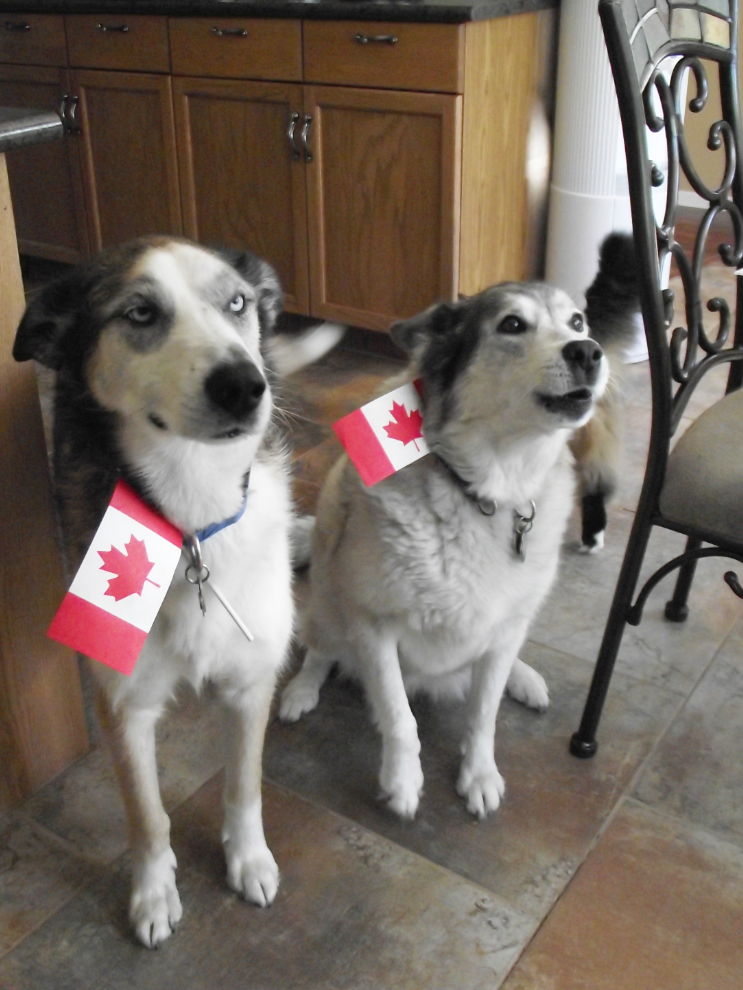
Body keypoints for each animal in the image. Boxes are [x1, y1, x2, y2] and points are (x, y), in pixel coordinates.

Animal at [12, 236, 342, 948]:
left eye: (238, 302)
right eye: (139, 312)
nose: (246, 385)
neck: (190, 524)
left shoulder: (250, 685)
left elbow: (243, 787)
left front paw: (249, 862)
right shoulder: (123, 704)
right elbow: (148, 815)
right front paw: (153, 893)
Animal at [280, 276, 612, 816]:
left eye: (578, 321)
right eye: (512, 325)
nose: (588, 350)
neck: (488, 494)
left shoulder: (503, 629)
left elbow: (483, 714)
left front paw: (479, 773)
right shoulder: (373, 627)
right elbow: (399, 715)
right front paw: (402, 780)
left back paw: (524, 678)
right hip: (328, 599)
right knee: (320, 649)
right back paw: (302, 690)